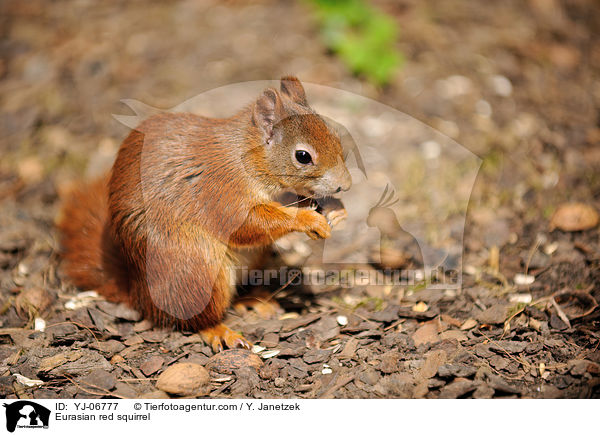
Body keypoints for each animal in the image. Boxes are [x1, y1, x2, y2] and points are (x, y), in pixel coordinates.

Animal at [57, 76, 352, 352]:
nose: (345, 185)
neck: (247, 158)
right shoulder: (221, 191)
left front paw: (336, 209)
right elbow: (248, 225)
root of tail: (138, 292)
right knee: (192, 318)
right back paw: (220, 331)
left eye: (335, 137)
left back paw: (253, 300)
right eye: (302, 156)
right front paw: (308, 219)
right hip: (197, 268)